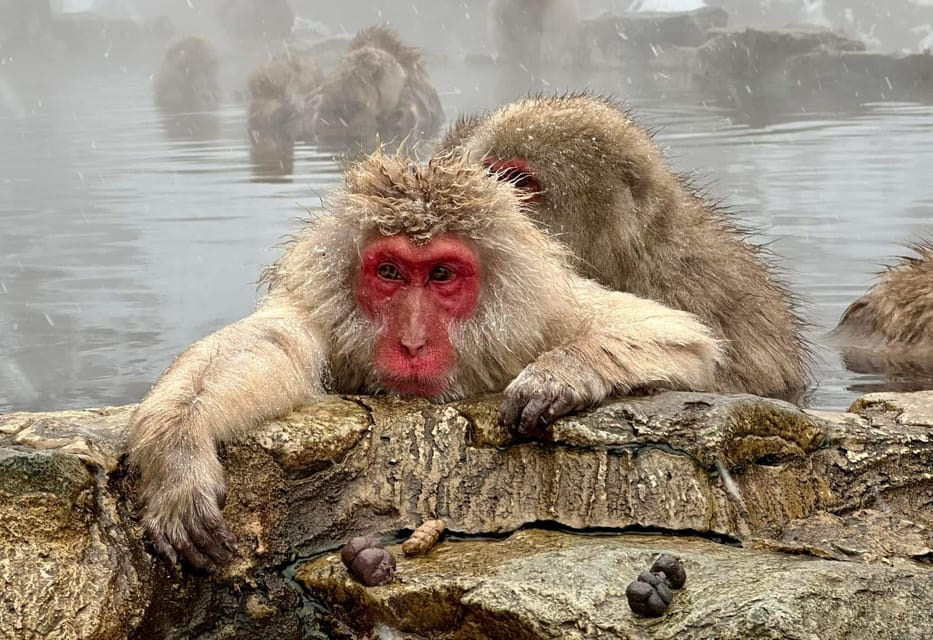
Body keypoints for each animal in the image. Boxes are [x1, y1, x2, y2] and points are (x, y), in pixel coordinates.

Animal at [128, 149, 723, 569]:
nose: (412, 342)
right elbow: (268, 343)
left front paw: (561, 374)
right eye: (390, 272)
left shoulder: (543, 310)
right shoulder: (320, 312)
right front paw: (179, 451)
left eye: (441, 275)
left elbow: (679, 338)